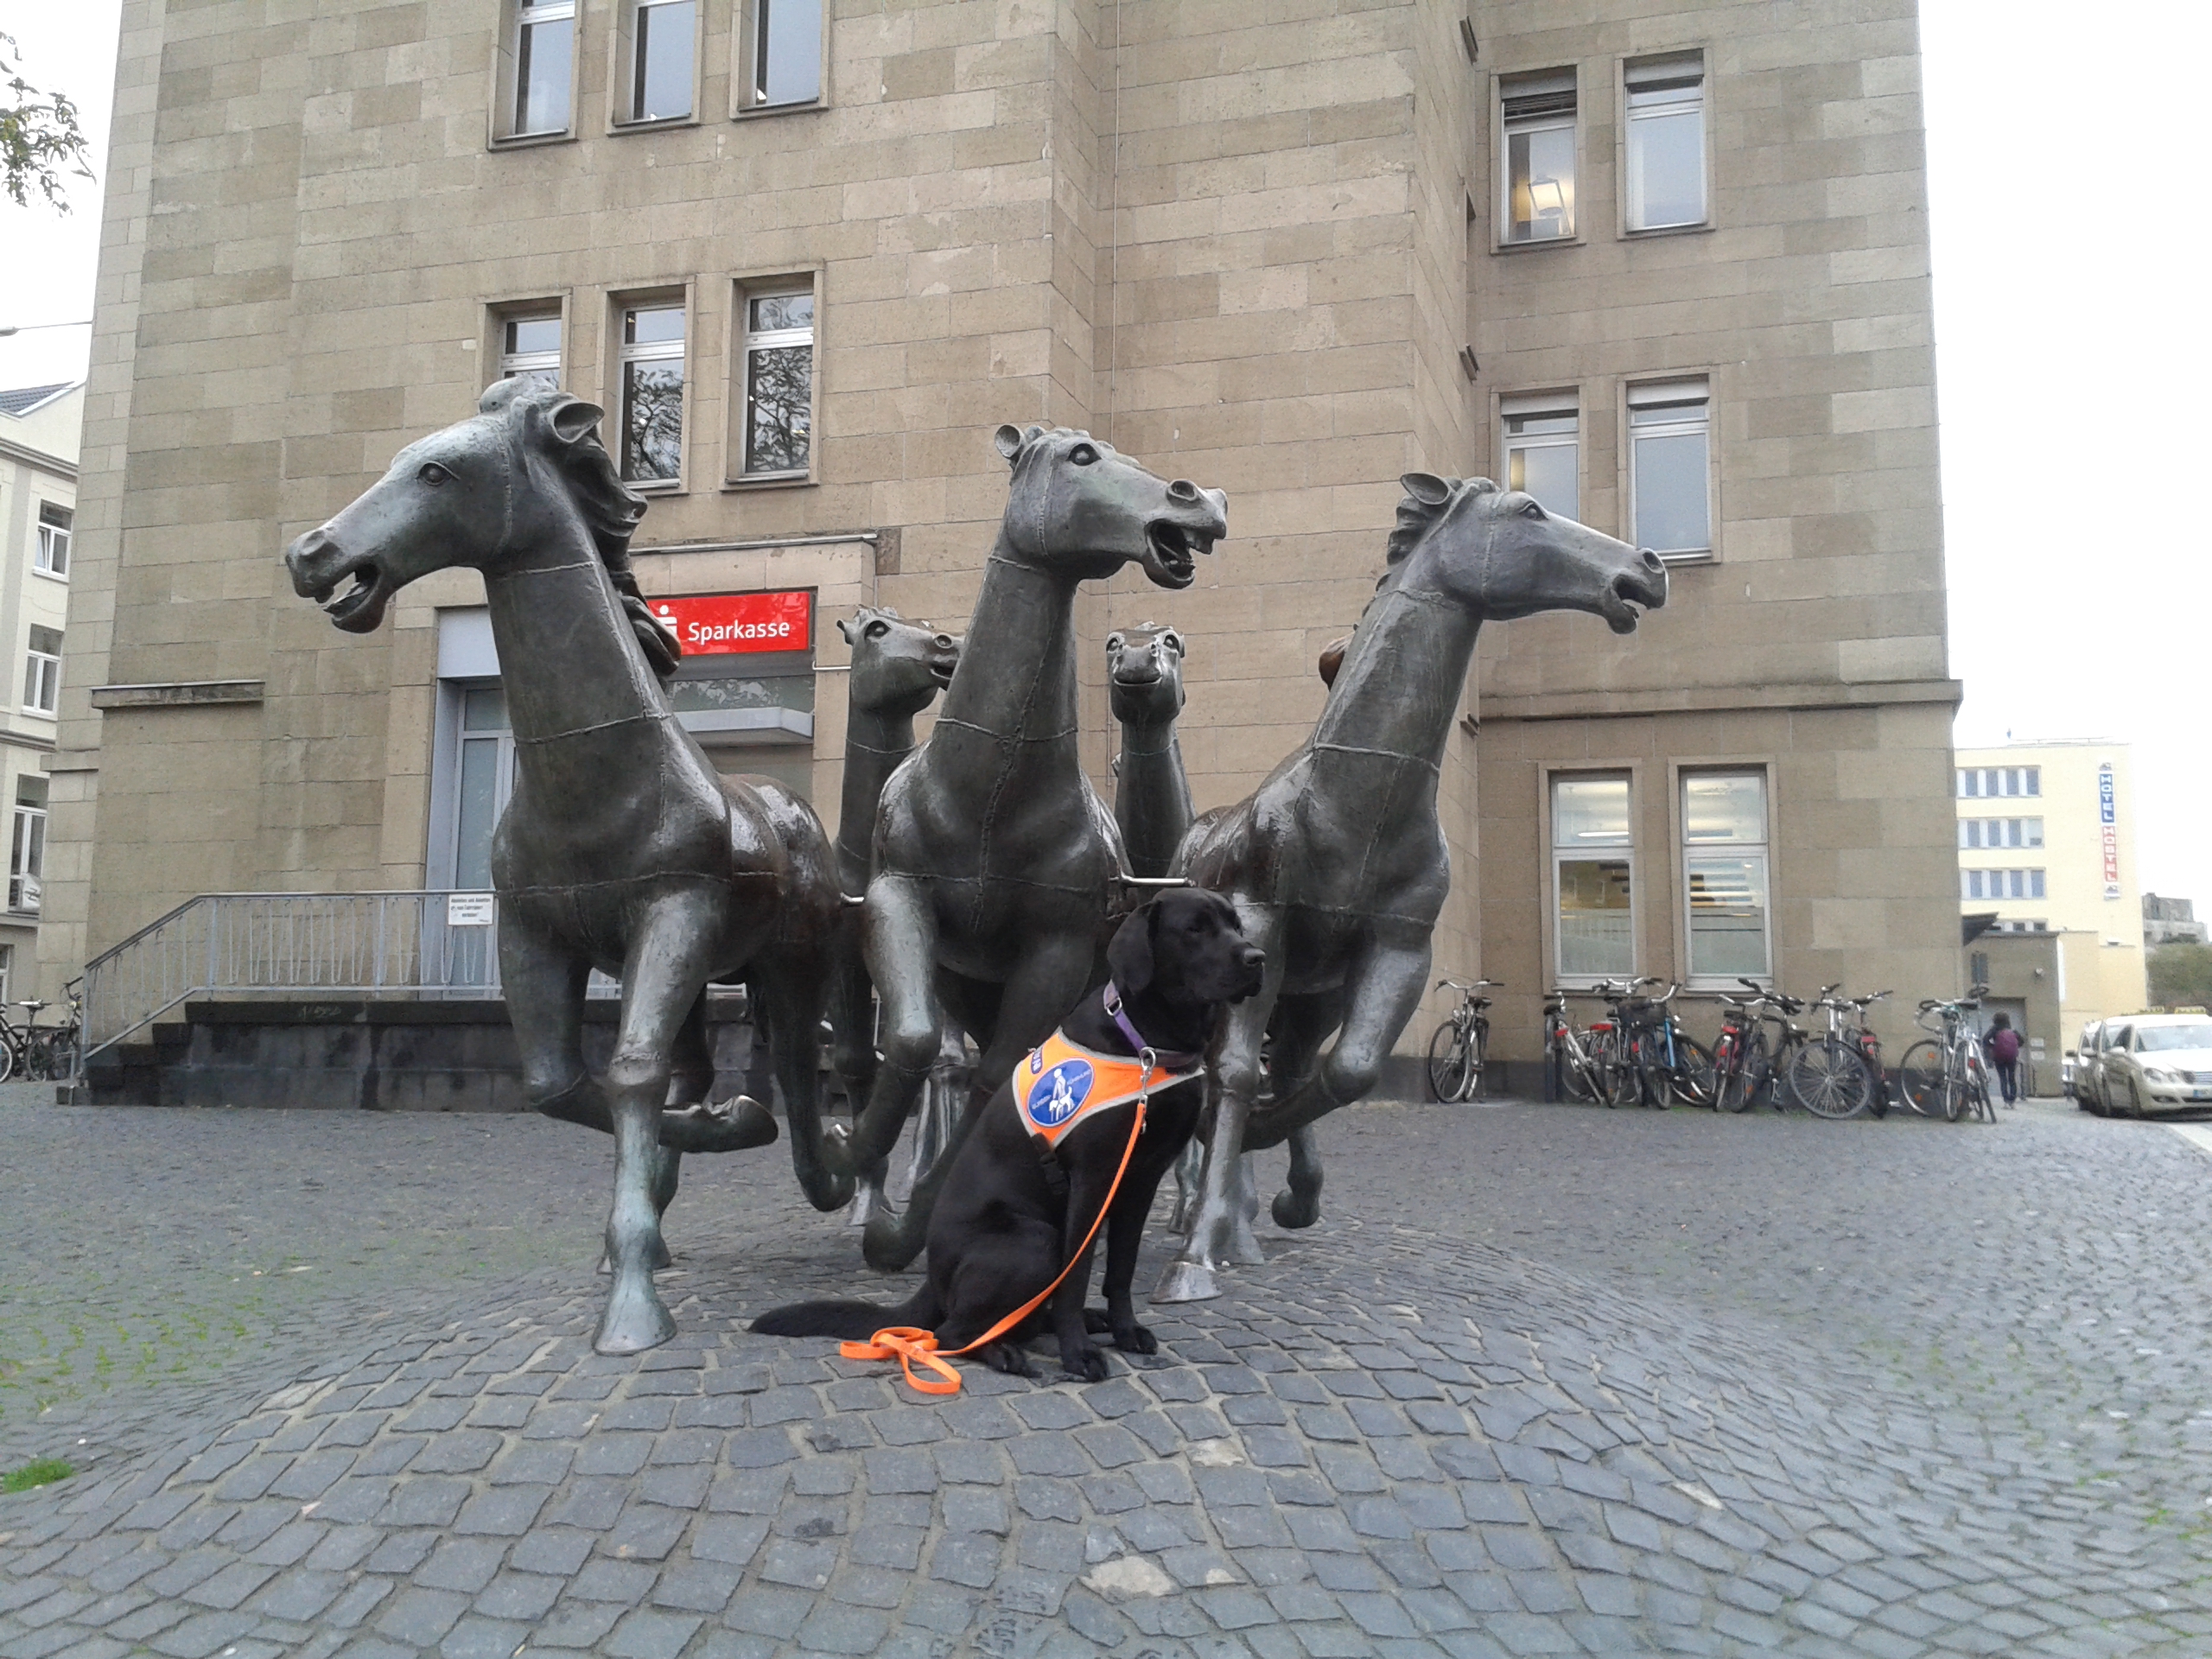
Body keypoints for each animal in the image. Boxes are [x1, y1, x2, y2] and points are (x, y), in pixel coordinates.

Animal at [752, 889, 1265, 1380]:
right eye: (1194, 929)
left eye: (1237, 925)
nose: (1257, 957)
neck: (1149, 1045)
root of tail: (931, 1280)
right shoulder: (1095, 1178)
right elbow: (1077, 1275)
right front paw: (1079, 1353)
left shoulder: (1142, 1179)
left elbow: (1121, 1269)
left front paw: (1126, 1331)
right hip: (1033, 1239)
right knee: (952, 1331)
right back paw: (1007, 1354)